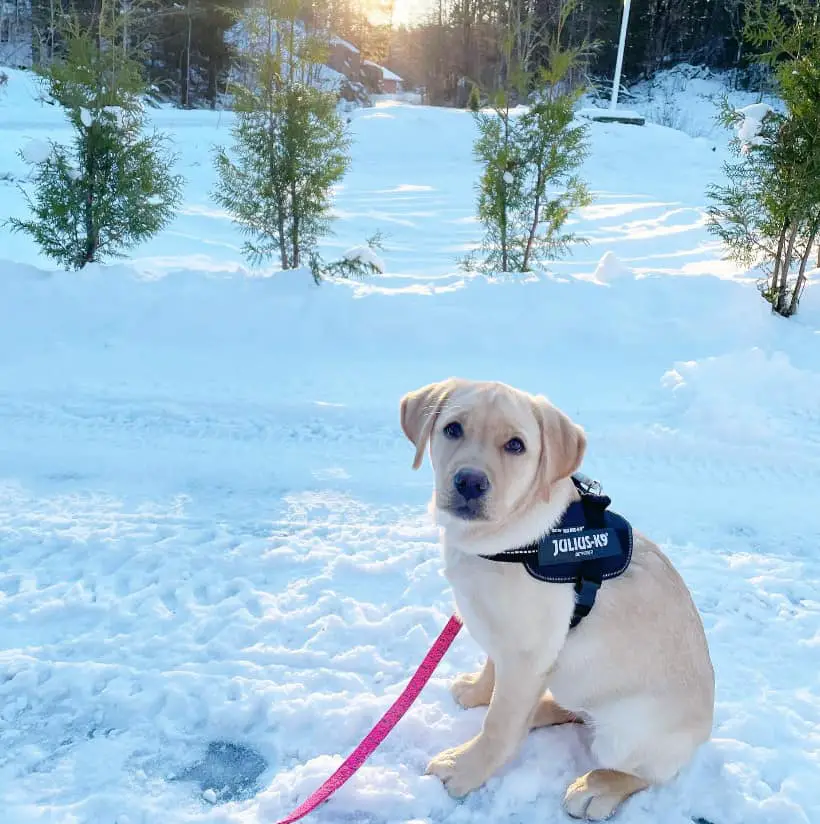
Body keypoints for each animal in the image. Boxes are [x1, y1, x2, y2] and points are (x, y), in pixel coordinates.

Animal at [400, 378, 716, 816]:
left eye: (516, 445)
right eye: (452, 429)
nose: (470, 482)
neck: (509, 540)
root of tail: (702, 735)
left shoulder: (527, 652)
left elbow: (498, 727)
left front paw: (464, 769)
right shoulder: (507, 642)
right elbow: (492, 672)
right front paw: (479, 692)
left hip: (627, 731)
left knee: (646, 775)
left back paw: (596, 787)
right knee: (572, 709)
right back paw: (539, 711)